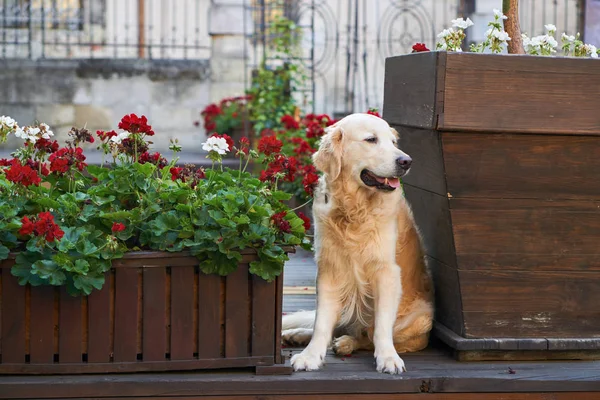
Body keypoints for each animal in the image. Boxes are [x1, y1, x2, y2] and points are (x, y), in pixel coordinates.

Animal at [282, 113, 432, 376]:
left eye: (393, 142)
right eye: (371, 139)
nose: (406, 161)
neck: (354, 209)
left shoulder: (387, 272)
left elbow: (381, 327)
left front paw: (388, 358)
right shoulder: (329, 269)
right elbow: (322, 323)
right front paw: (311, 355)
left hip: (420, 318)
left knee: (367, 335)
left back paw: (346, 343)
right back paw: (298, 335)